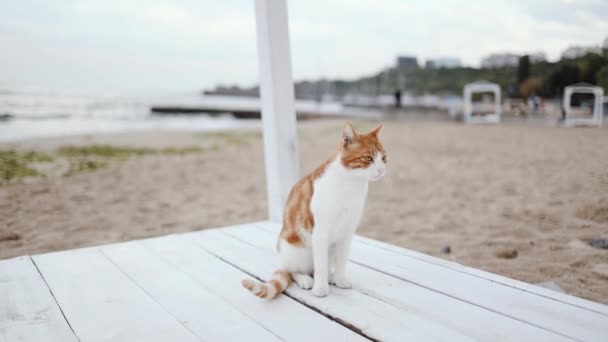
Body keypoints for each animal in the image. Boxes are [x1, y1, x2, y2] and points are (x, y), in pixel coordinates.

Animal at [241, 122, 384, 296]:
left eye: (383, 158)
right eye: (368, 158)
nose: (381, 169)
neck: (351, 185)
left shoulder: (347, 232)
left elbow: (341, 261)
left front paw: (340, 280)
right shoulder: (320, 232)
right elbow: (320, 266)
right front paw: (320, 288)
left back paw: (331, 276)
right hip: (294, 251)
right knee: (293, 271)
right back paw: (306, 279)